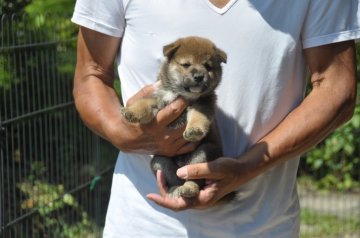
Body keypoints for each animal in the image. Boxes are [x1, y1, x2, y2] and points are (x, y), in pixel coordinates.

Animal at [121, 35, 228, 199]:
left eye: (208, 67)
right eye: (186, 64)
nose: (199, 76)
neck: (180, 94)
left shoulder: (203, 104)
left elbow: (198, 117)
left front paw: (194, 130)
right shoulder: (159, 99)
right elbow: (145, 102)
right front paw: (132, 111)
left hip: (204, 154)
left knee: (195, 181)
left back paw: (188, 188)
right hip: (160, 162)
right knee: (175, 179)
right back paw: (173, 190)